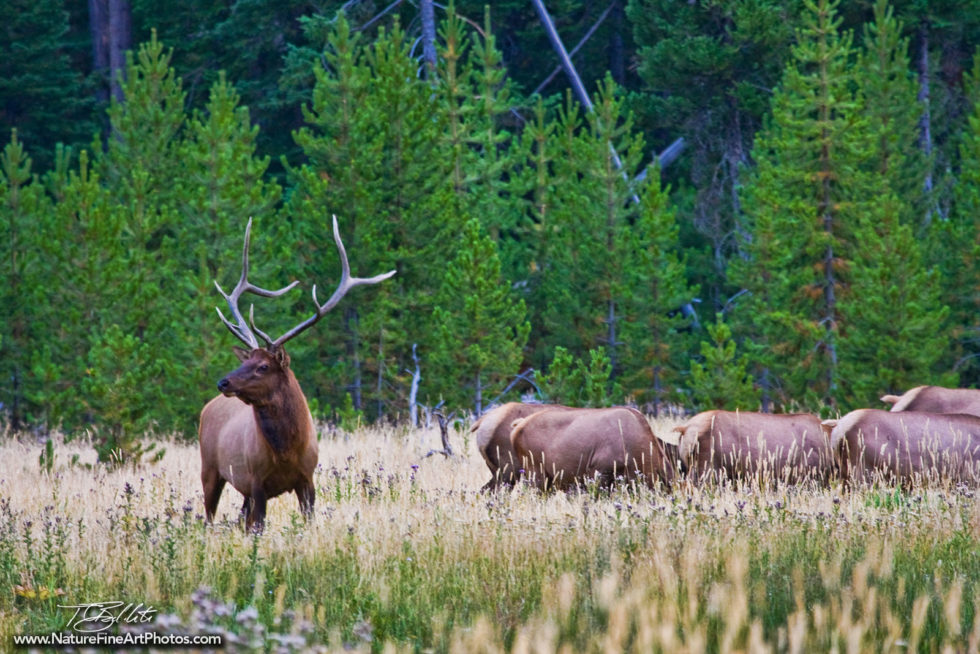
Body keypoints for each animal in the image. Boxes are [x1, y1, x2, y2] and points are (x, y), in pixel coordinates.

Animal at [199, 215, 394, 532]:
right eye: (248, 360)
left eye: (263, 366)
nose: (223, 382)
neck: (286, 452)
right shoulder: (256, 481)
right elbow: (258, 528)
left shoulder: (306, 479)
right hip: (210, 469)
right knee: (209, 515)